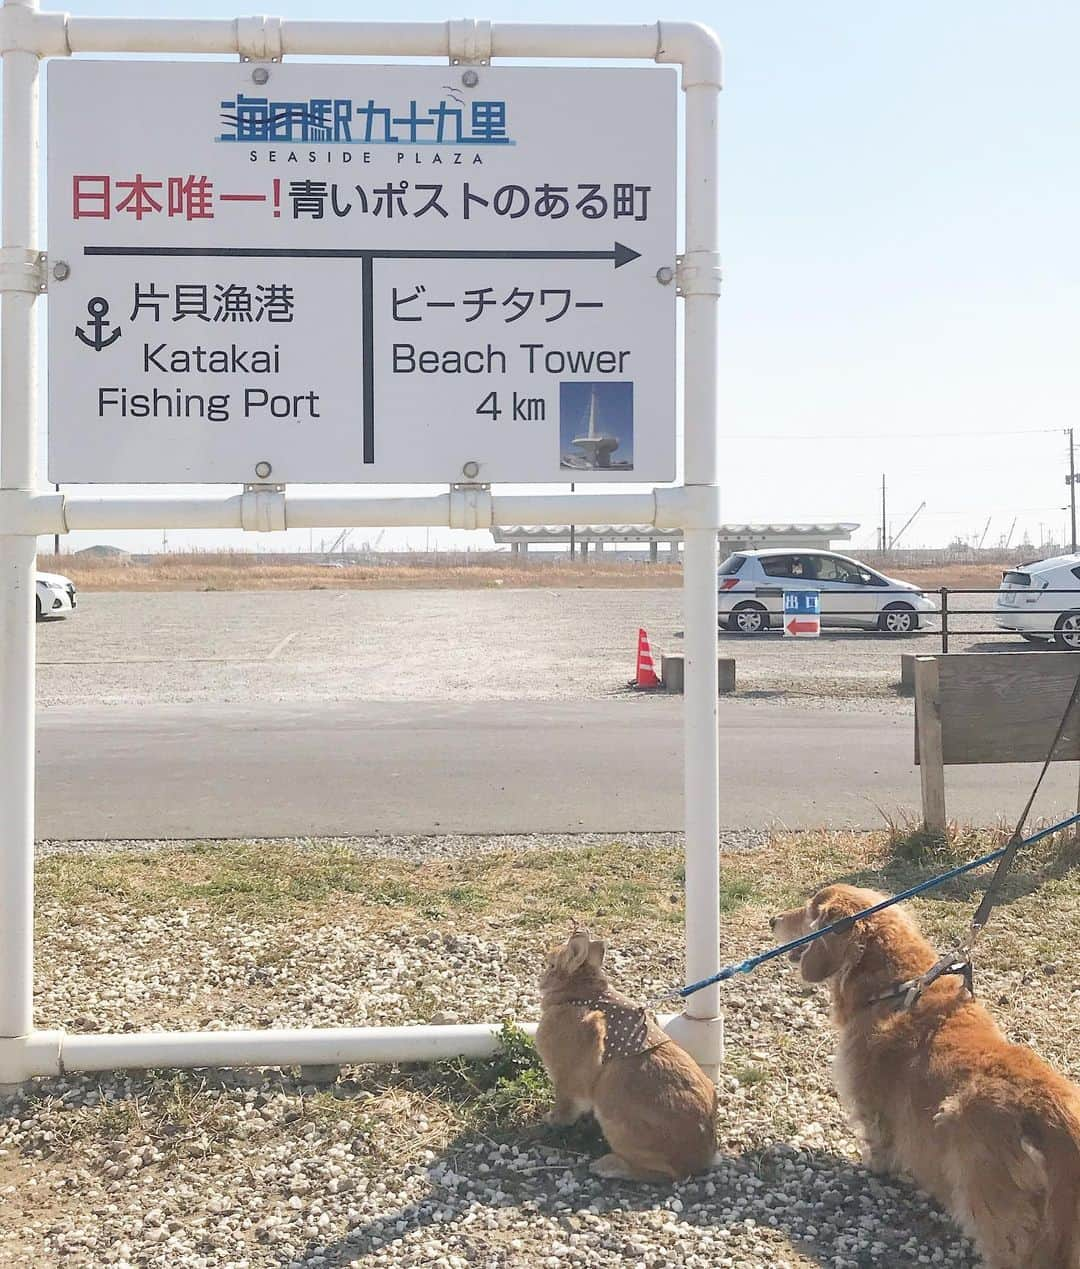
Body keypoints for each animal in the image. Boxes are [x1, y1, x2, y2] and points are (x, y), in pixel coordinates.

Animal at [535, 923, 715, 1177]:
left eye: (551, 965)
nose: (540, 981)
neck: (578, 995)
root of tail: (697, 1161)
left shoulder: (566, 1080)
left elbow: (566, 1104)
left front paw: (551, 1119)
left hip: (617, 1122)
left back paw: (605, 1166)